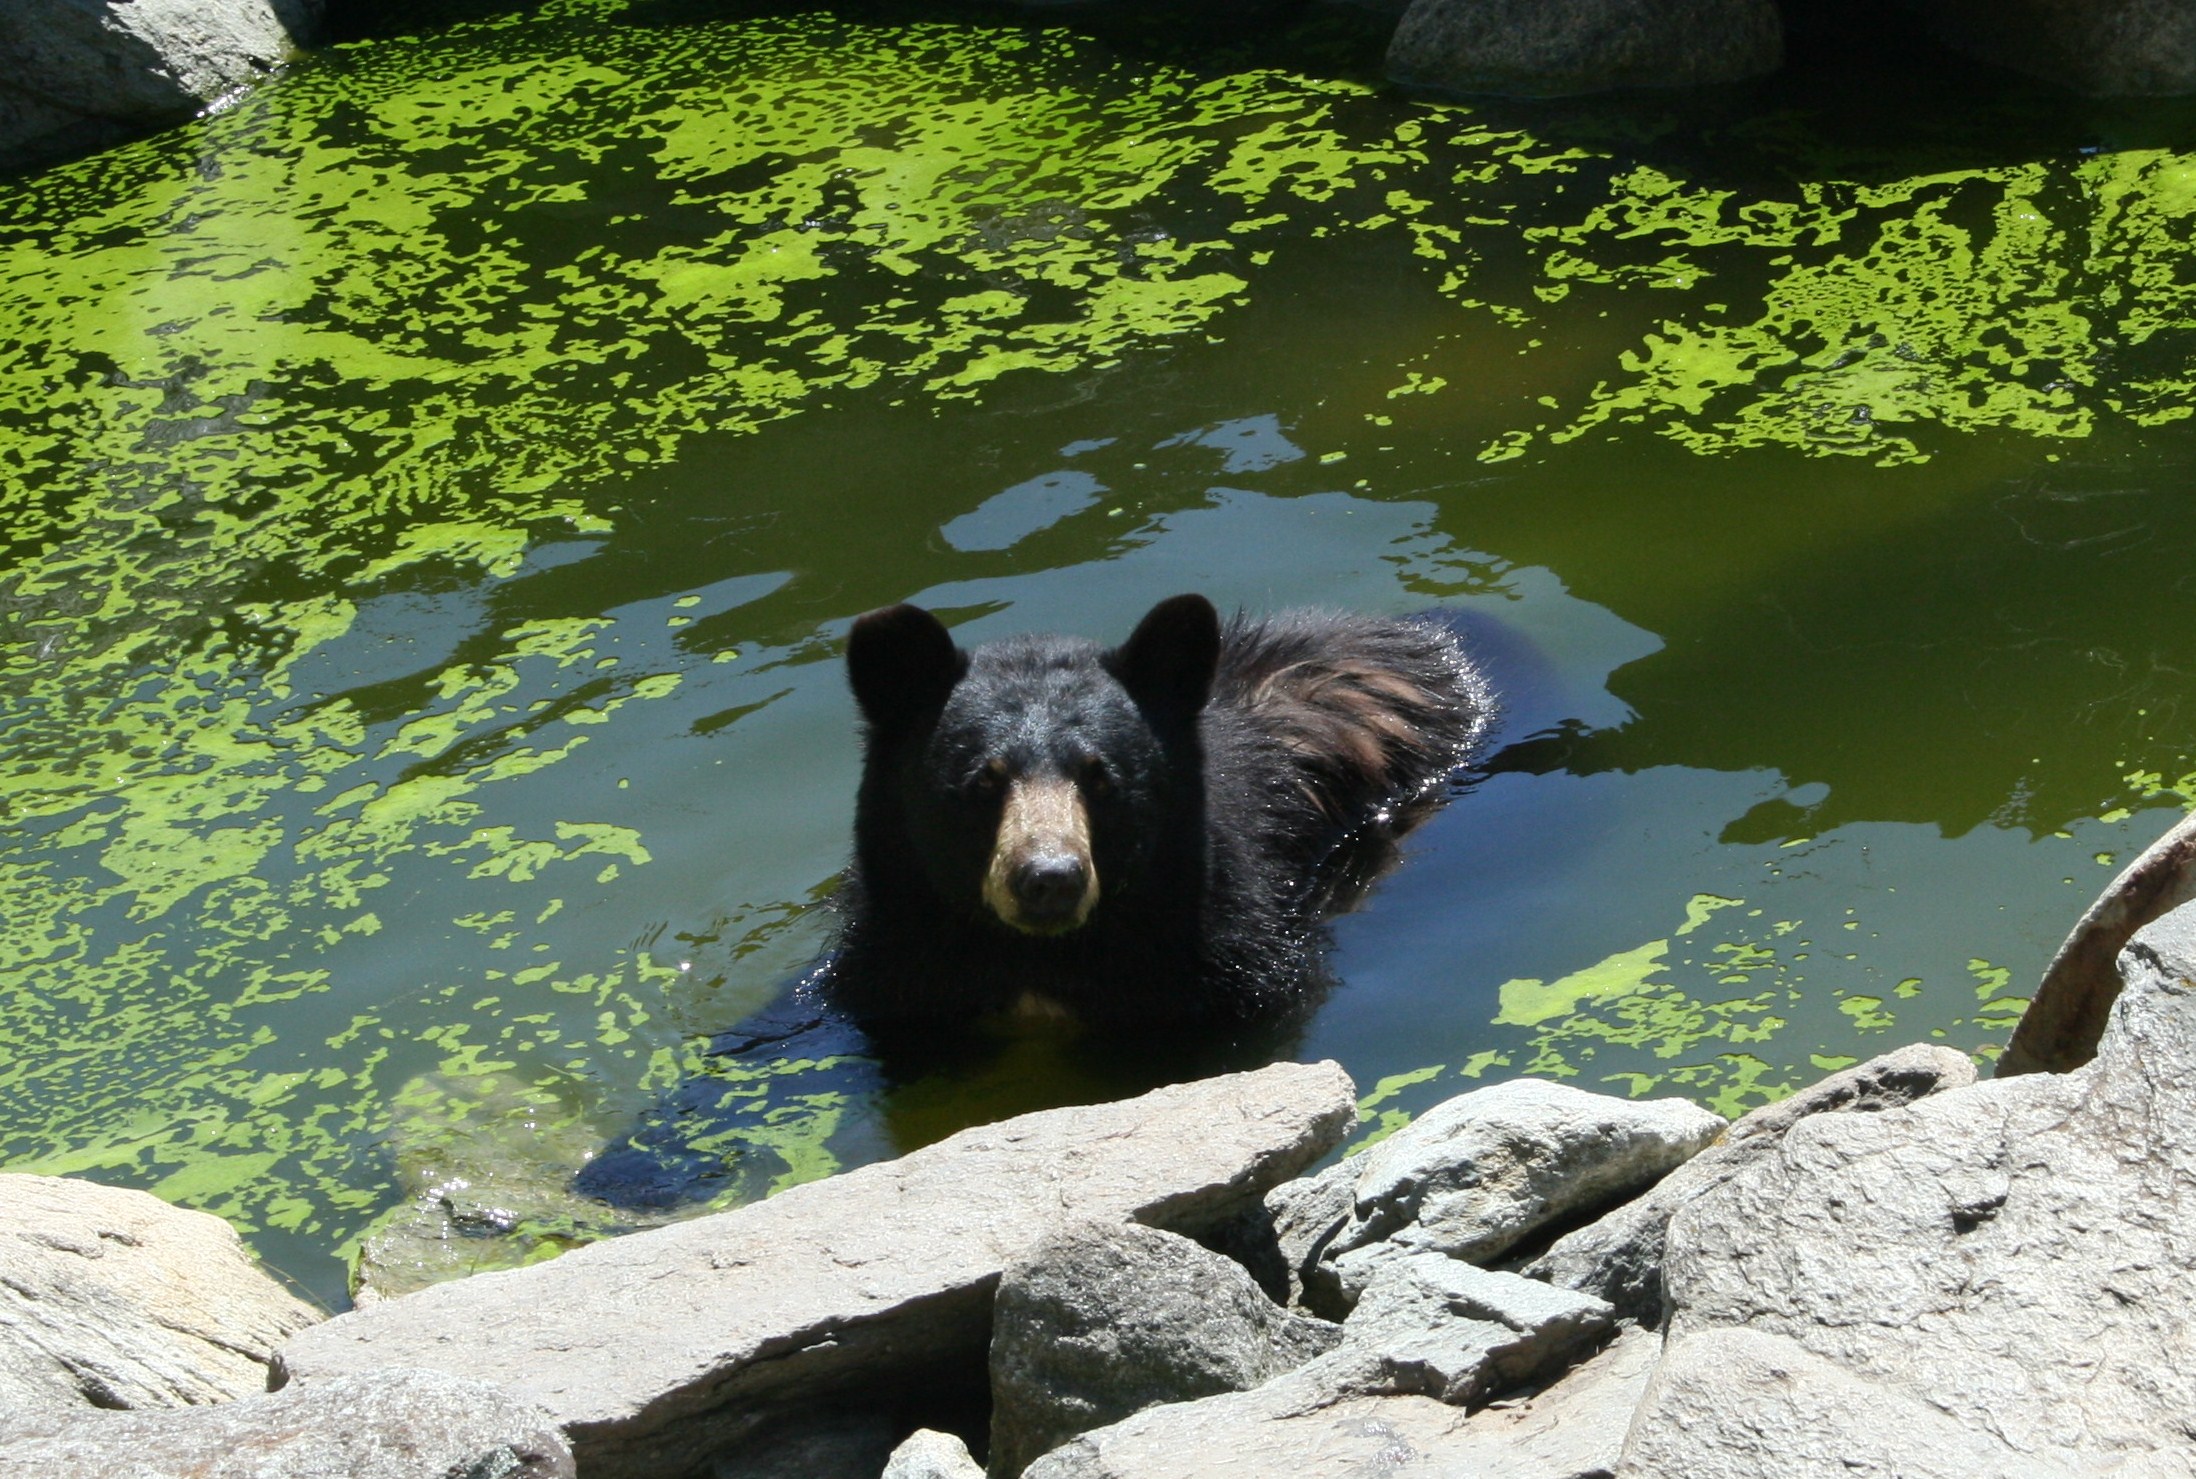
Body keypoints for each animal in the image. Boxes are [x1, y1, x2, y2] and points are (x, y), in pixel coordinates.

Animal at [825, 593, 1493, 1028]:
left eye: (1102, 778)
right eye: (983, 782)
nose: (1049, 879)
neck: (1039, 960)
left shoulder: (1224, 959)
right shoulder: (900, 966)